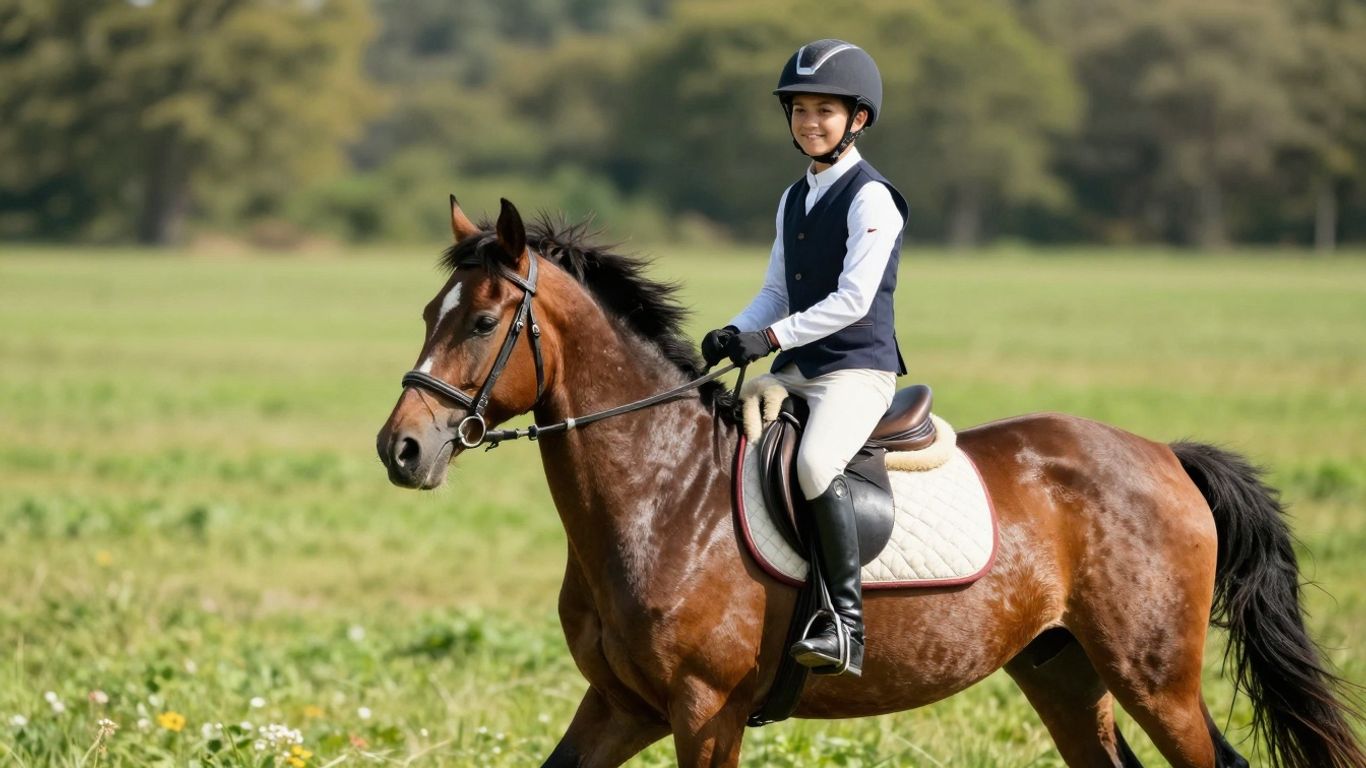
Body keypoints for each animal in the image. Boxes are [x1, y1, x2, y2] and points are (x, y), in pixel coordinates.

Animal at [375, 196, 1364, 768]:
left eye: (485, 322)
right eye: (426, 312)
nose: (402, 450)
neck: (661, 496)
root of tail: (1163, 453)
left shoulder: (705, 710)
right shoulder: (623, 705)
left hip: (1155, 677)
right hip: (1064, 671)